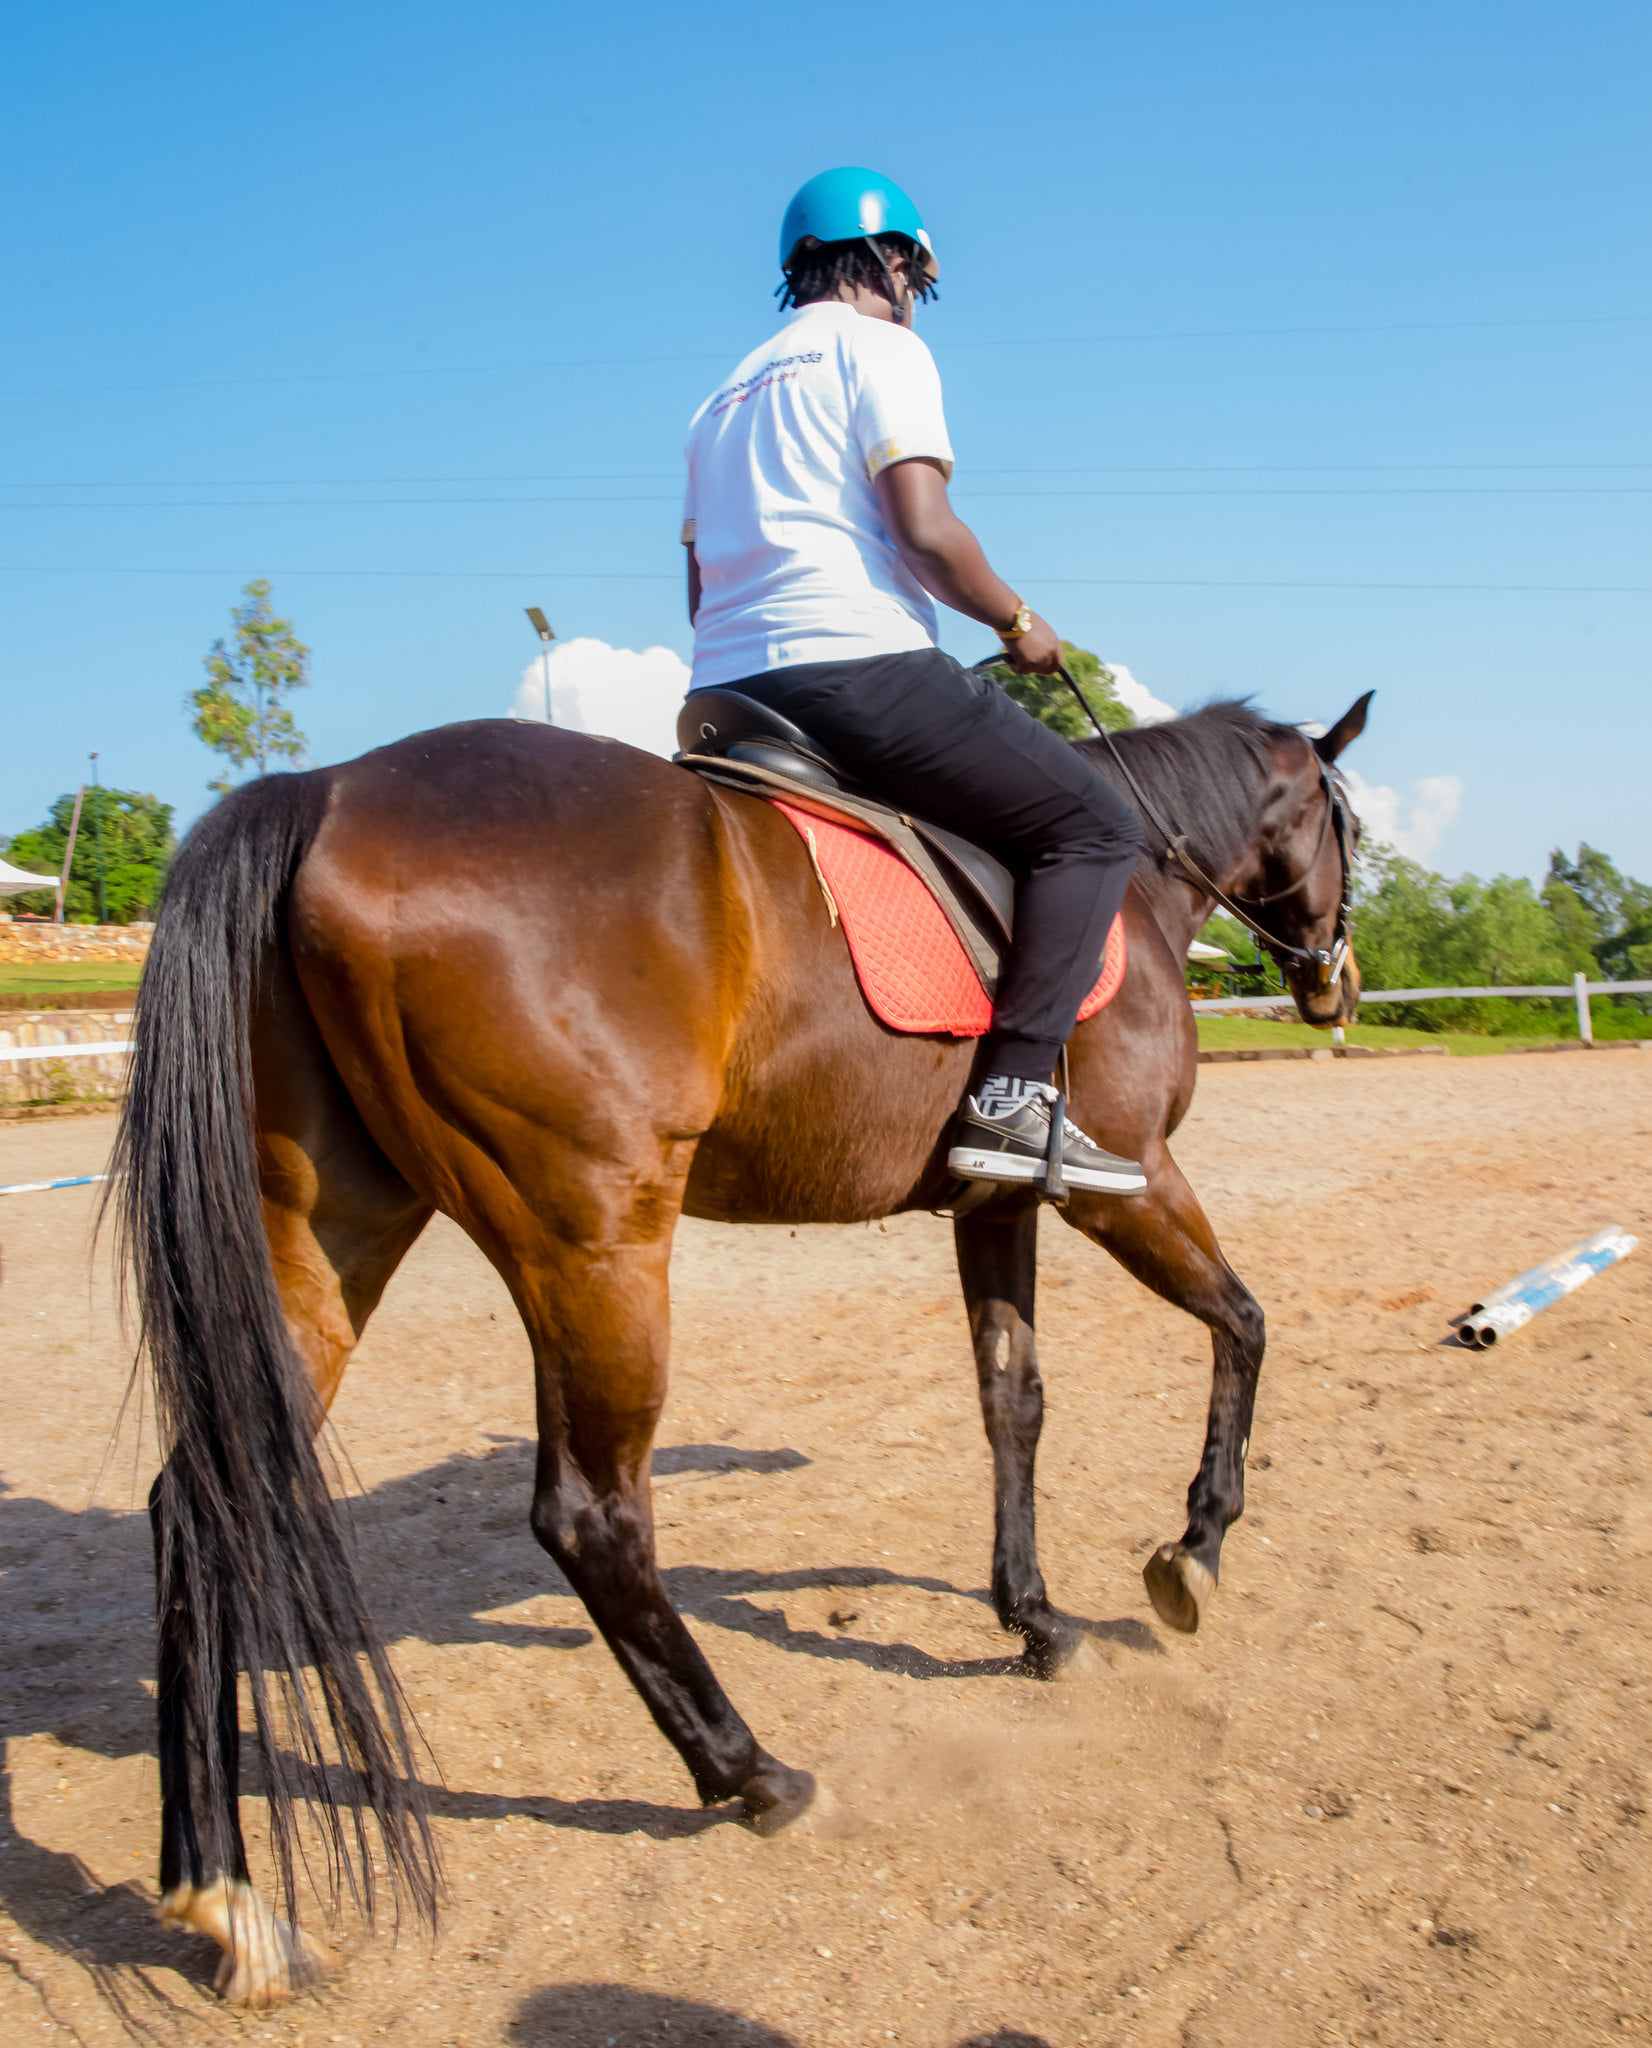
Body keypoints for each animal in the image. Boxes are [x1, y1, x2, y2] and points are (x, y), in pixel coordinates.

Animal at [111, 686, 1370, 2004]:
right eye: (1346, 824)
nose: (1334, 986)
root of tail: (326, 790)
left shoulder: (997, 1203)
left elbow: (1012, 1399)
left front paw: (1035, 1617)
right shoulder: (1129, 1181)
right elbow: (1243, 1323)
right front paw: (1193, 1548)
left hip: (331, 1225)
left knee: (204, 1501)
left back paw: (225, 1897)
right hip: (590, 1236)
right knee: (591, 1516)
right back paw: (750, 1770)